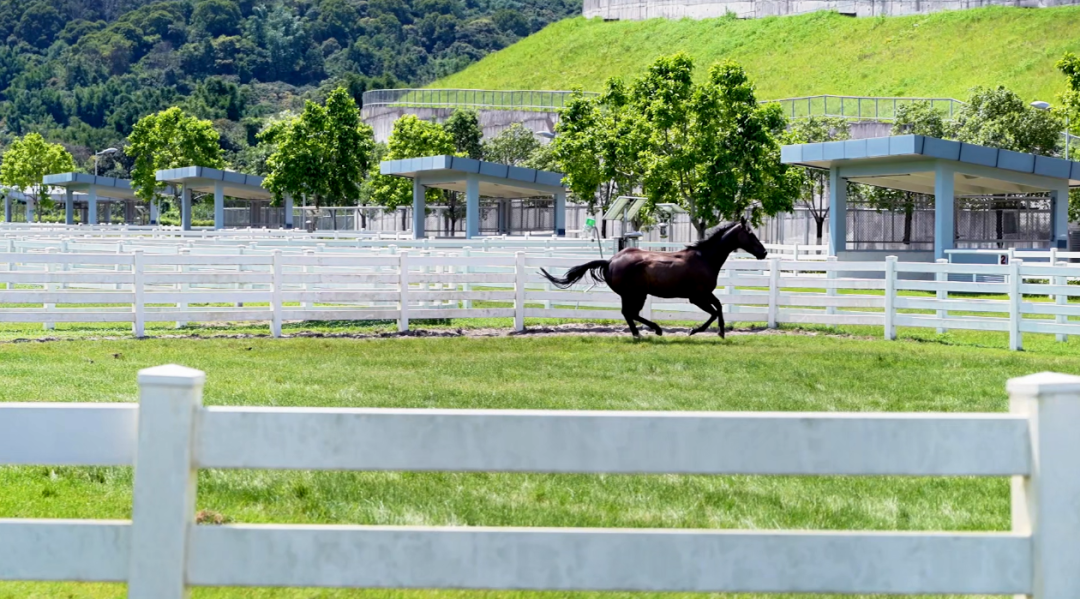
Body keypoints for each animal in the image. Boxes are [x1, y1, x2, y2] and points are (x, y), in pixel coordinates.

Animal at [539, 219, 768, 338]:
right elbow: (713, 312)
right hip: (636, 294)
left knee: (628, 313)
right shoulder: (697, 297)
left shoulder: (705, 294)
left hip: (632, 295)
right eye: (751, 234)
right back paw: (652, 331)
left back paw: (642, 332)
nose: (764, 252)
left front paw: (720, 332)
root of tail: (610, 261)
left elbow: (719, 307)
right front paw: (695, 330)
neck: (704, 258)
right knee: (630, 313)